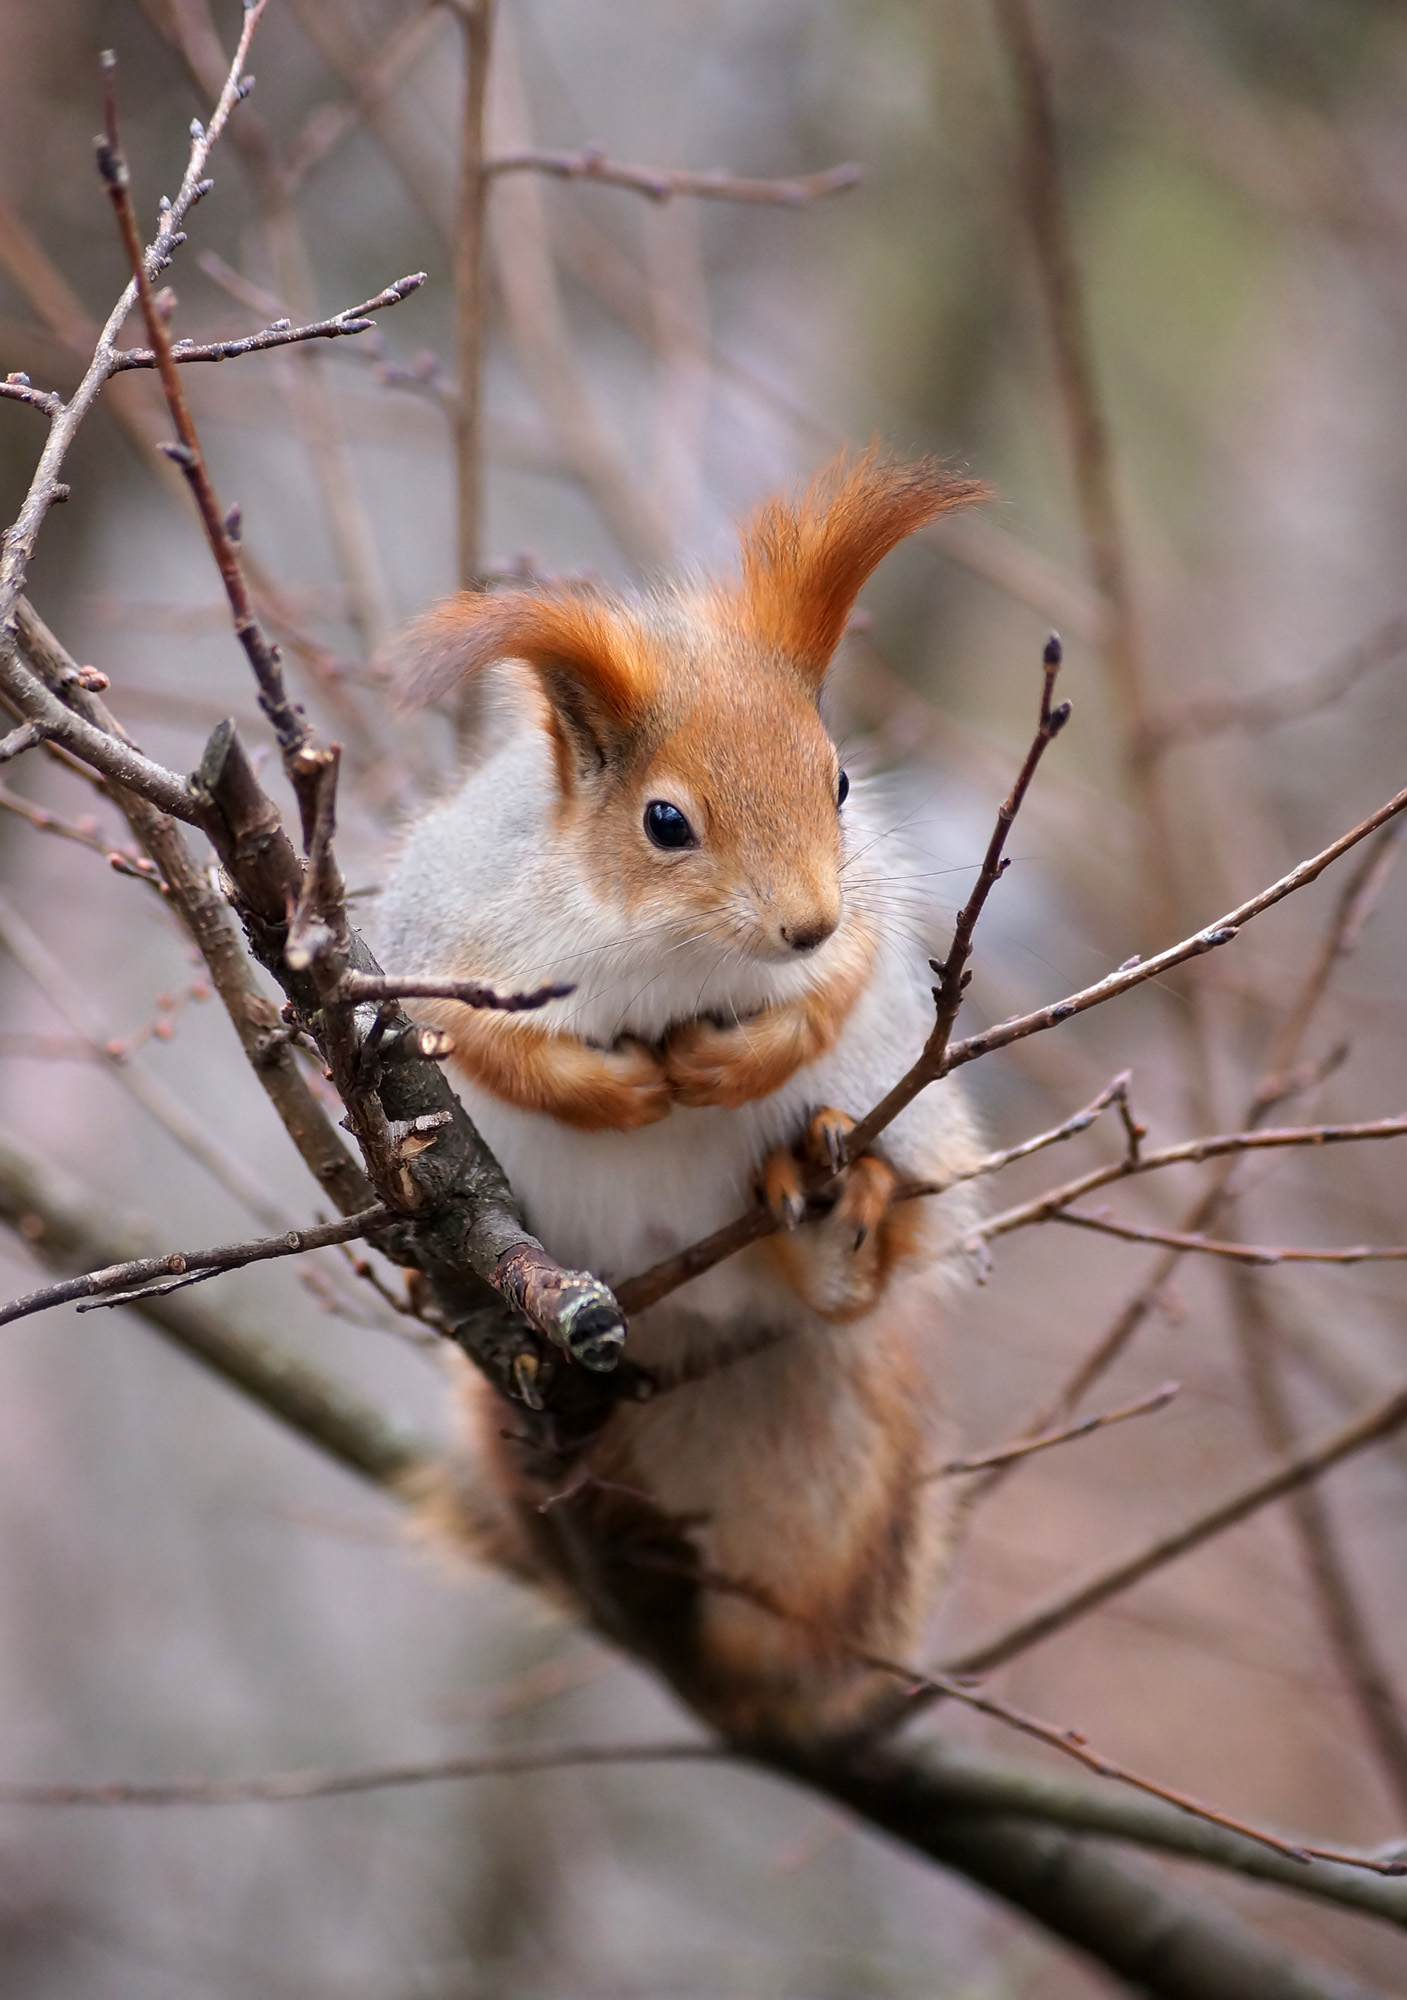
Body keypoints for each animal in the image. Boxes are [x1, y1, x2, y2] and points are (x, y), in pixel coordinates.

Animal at [379, 450, 983, 1736]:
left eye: (839, 779)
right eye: (665, 820)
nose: (801, 919)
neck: (671, 954)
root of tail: (691, 1314)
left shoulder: (867, 907)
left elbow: (843, 982)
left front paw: (729, 1060)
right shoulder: (443, 940)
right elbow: (476, 1038)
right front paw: (611, 1088)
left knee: (857, 1268)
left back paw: (836, 1219)